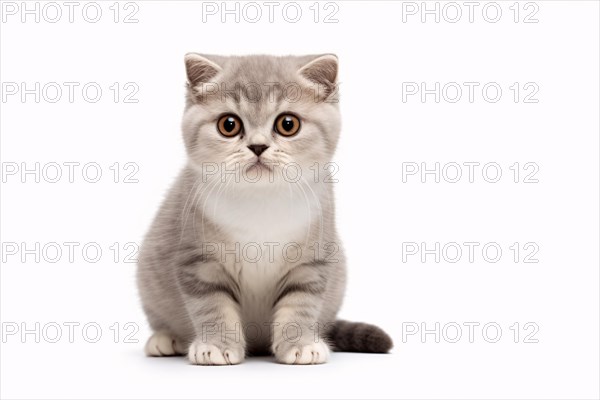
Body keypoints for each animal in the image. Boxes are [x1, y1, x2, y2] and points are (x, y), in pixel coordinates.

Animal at [137, 51, 394, 364]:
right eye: (229, 125)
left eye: (288, 124)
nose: (258, 146)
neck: (261, 202)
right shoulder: (199, 261)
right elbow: (212, 307)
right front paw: (217, 346)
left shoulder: (311, 262)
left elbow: (300, 304)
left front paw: (300, 345)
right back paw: (166, 339)